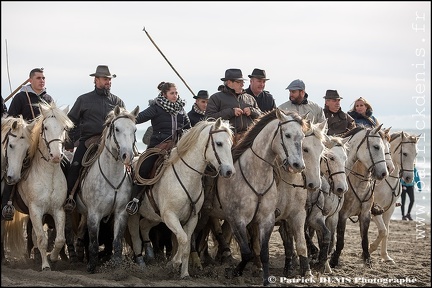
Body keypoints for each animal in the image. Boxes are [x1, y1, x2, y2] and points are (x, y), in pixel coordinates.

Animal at [7, 101, 73, 270]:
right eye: (46, 127)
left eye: (64, 128)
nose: (56, 156)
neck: (48, 175)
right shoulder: (35, 210)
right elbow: (42, 239)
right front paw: (45, 265)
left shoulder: (58, 210)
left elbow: (59, 239)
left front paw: (54, 257)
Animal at [74, 105, 138, 272]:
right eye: (117, 128)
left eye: (134, 129)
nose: (127, 155)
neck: (112, 177)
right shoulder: (94, 214)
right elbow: (94, 243)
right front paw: (91, 267)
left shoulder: (121, 213)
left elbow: (116, 242)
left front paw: (116, 267)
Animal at [128, 117, 236, 280]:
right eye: (219, 143)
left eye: (230, 144)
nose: (229, 171)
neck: (187, 176)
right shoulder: (170, 216)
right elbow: (183, 239)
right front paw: (174, 262)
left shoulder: (192, 218)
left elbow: (186, 243)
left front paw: (184, 273)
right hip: (135, 215)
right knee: (135, 232)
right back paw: (140, 262)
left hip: (154, 216)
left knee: (144, 226)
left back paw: (150, 254)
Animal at [330, 125, 390, 268]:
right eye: (376, 147)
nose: (384, 173)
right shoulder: (342, 215)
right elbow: (340, 240)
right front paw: (334, 260)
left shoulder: (365, 214)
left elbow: (364, 239)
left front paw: (367, 260)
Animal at [368, 132, 418, 262]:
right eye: (404, 153)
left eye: (416, 154)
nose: (409, 178)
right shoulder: (375, 210)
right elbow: (383, 231)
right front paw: (370, 248)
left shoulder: (389, 209)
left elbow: (386, 231)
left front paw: (385, 256)